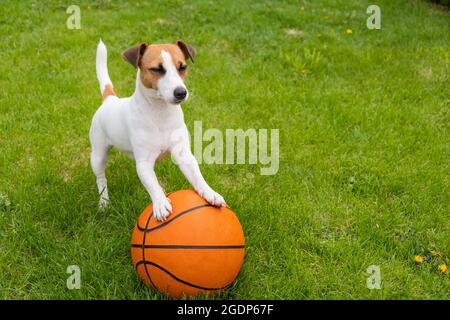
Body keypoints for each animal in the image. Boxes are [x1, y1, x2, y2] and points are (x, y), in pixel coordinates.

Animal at [90, 39, 227, 220]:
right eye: (157, 69)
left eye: (182, 67)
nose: (181, 92)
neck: (161, 113)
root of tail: (110, 99)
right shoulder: (144, 163)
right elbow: (151, 184)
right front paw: (160, 203)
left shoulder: (183, 154)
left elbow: (197, 176)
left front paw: (210, 192)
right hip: (98, 155)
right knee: (101, 179)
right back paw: (104, 202)